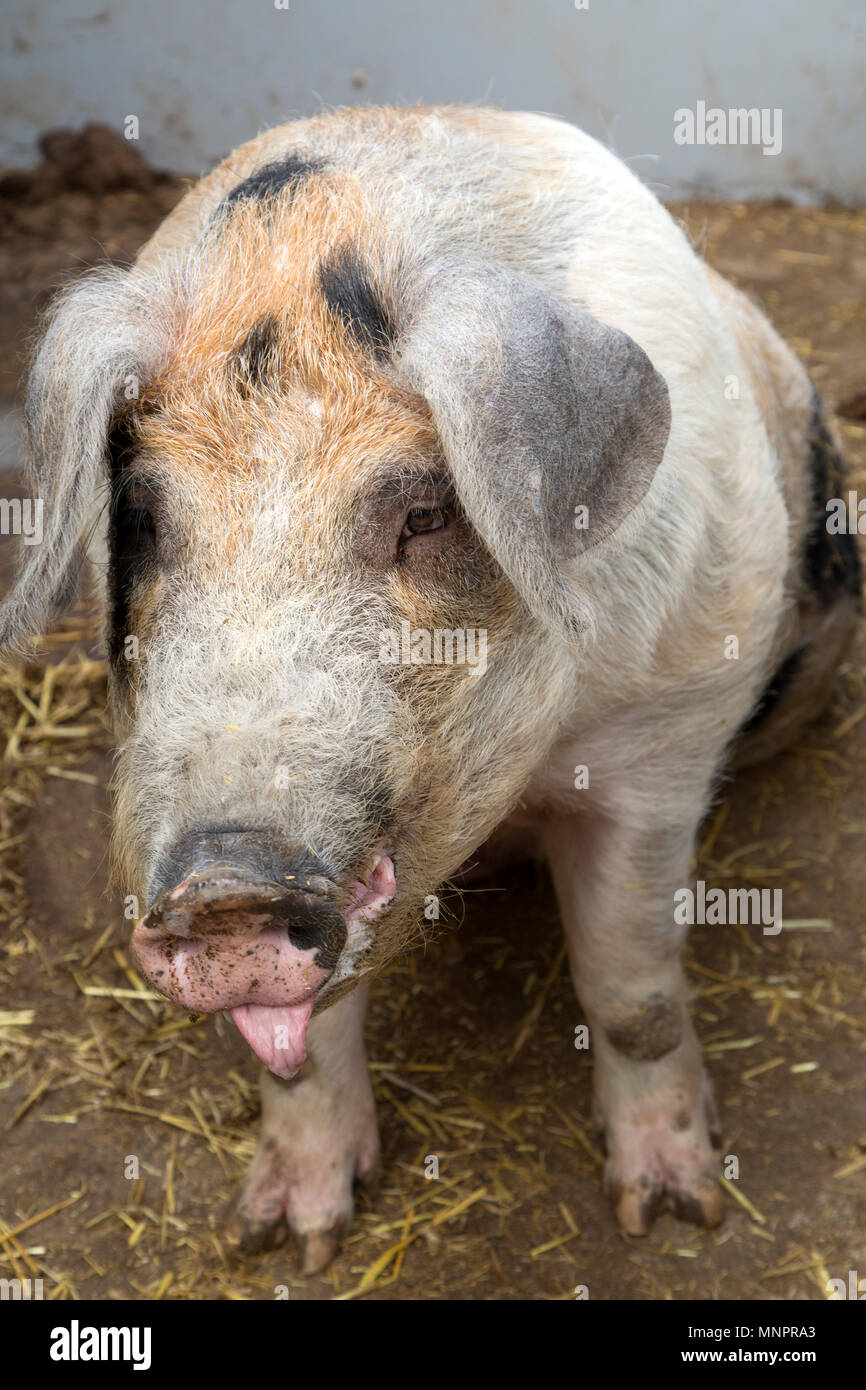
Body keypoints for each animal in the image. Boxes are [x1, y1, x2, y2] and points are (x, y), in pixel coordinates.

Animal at [1, 105, 861, 1273]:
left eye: (422, 513)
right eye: (140, 517)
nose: (226, 884)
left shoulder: (668, 734)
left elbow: (629, 991)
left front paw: (671, 1211)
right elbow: (300, 1045)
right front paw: (288, 1243)